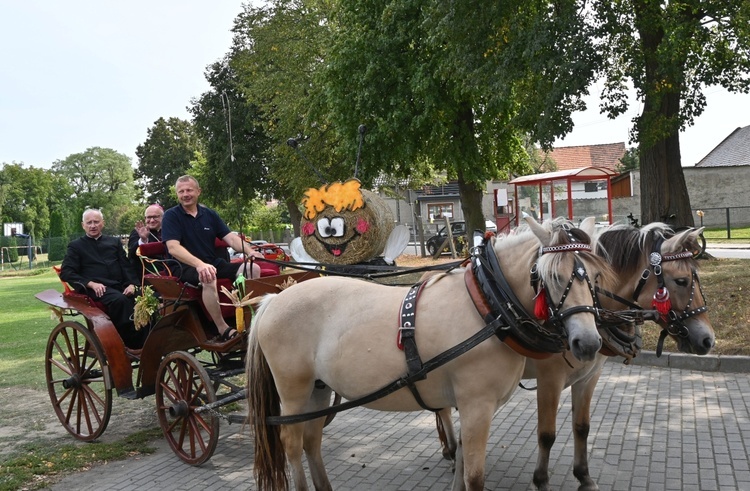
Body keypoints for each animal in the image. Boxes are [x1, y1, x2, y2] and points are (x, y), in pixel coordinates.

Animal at [247, 218, 616, 491]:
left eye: (596, 277)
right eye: (551, 276)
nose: (588, 343)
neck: (488, 306)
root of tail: (272, 301)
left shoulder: (469, 406)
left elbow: (463, 463)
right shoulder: (477, 405)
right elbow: (475, 476)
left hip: (319, 388)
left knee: (311, 440)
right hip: (294, 390)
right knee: (292, 442)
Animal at [434, 221, 716, 490]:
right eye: (681, 281)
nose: (708, 340)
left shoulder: (589, 376)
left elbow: (582, 428)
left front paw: (584, 476)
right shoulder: (550, 380)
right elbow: (546, 434)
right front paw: (540, 480)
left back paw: (452, 450)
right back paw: (452, 450)